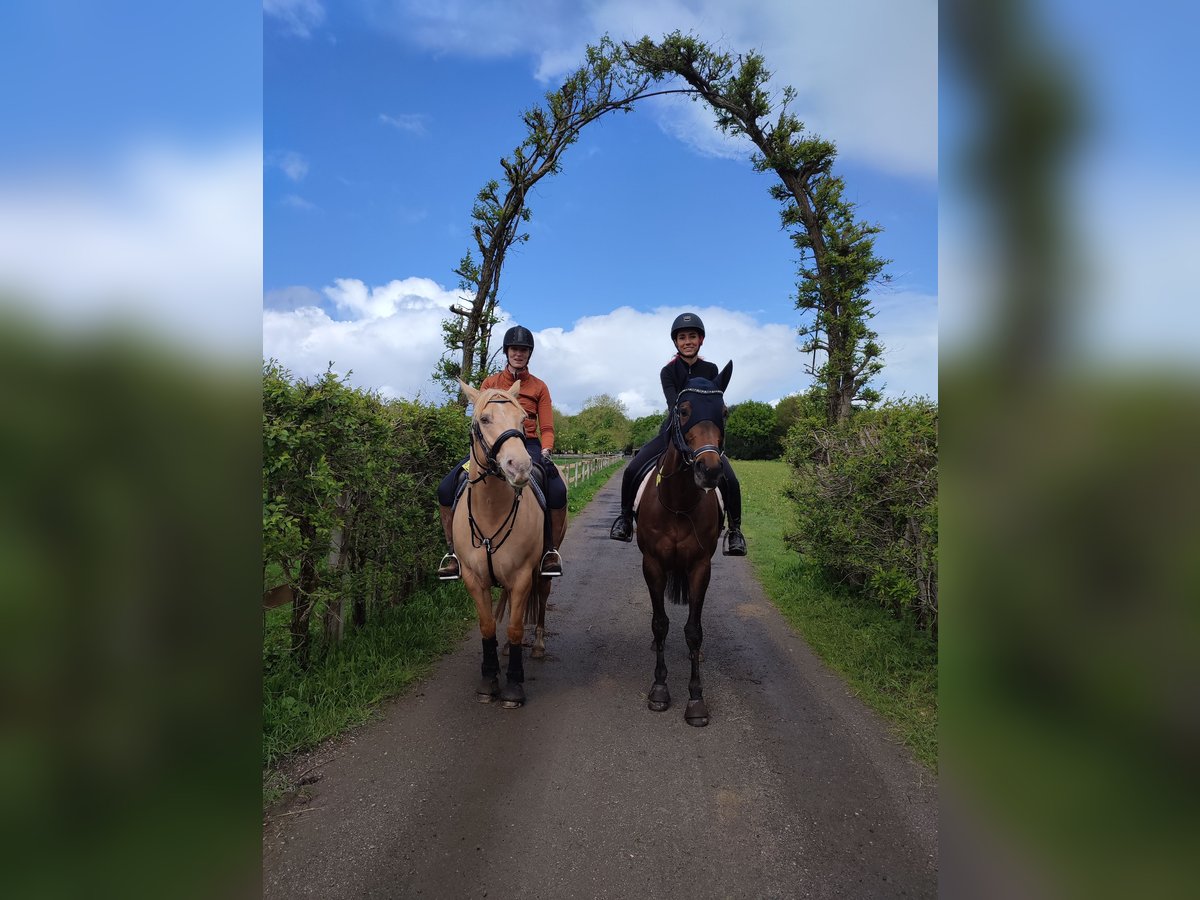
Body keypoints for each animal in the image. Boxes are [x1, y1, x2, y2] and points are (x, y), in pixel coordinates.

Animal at [451, 376, 564, 710]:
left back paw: (538, 644)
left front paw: (513, 686)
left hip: (542, 571)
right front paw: (489, 679)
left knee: (541, 598)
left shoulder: (523, 575)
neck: (491, 510)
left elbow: (514, 628)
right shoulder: (474, 578)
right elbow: (488, 627)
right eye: (484, 420)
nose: (520, 467)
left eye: (523, 419)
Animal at [638, 362, 729, 724]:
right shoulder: (652, 564)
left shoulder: (700, 567)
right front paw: (659, 689)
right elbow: (660, 623)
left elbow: (693, 630)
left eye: (724, 412)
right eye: (684, 410)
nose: (710, 470)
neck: (678, 501)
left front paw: (696, 699)